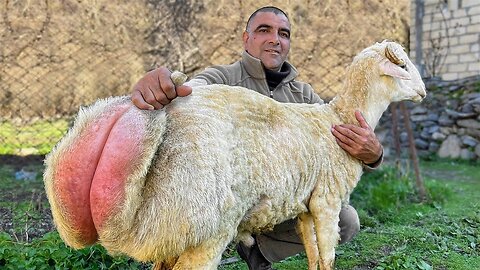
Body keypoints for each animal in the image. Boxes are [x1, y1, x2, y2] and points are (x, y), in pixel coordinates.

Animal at [43, 40, 426, 270]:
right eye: (403, 67)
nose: (423, 92)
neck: (338, 118)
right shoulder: (327, 201)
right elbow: (329, 257)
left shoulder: (305, 205)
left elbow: (314, 255)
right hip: (201, 226)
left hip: (170, 231)